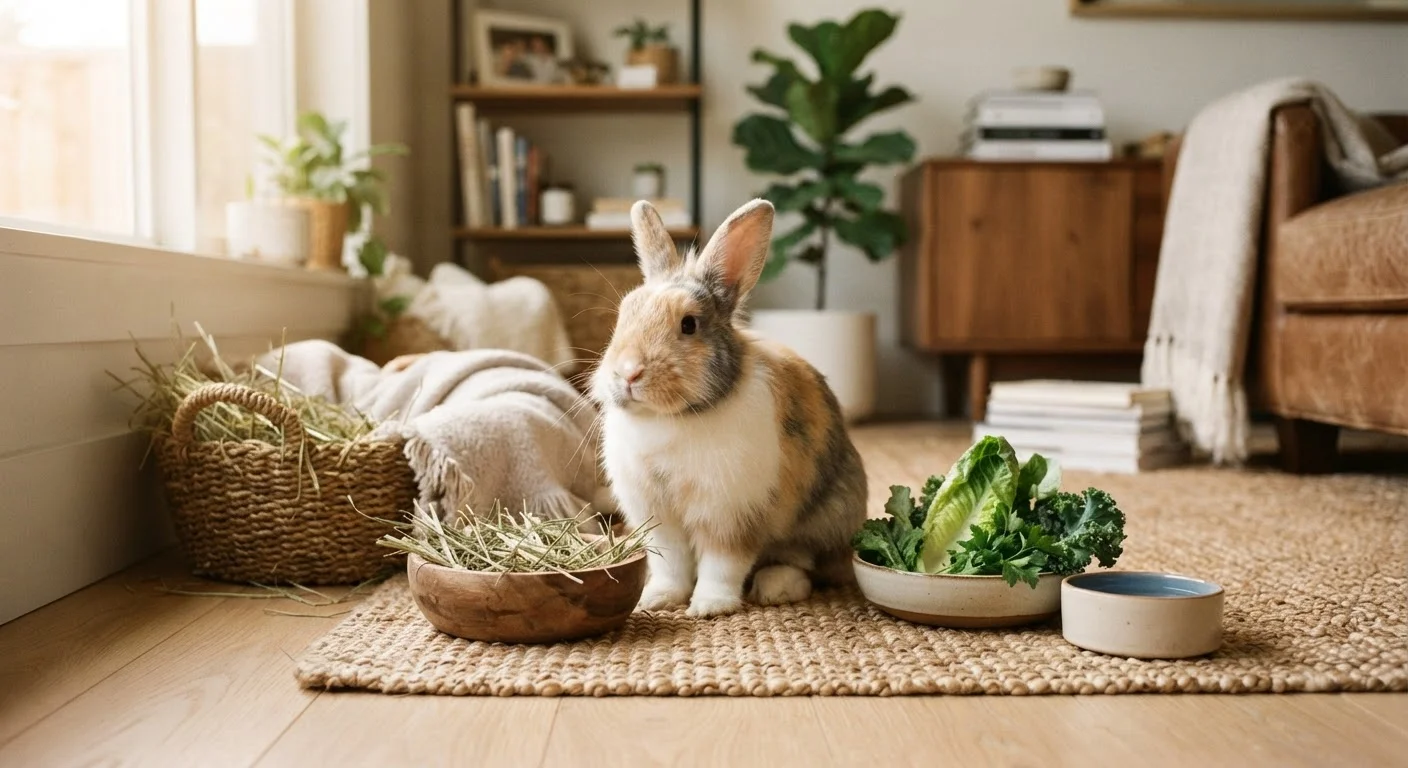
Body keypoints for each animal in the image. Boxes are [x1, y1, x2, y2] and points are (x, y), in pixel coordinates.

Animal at [590, 198, 868, 618]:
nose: (628, 372)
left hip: (824, 517)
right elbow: (670, 563)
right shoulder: (659, 518)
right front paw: (657, 599)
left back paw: (775, 588)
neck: (672, 417)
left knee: (804, 562)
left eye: (689, 324)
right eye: (624, 314)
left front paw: (709, 607)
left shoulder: (729, 515)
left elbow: (722, 564)